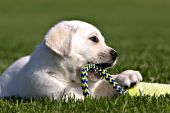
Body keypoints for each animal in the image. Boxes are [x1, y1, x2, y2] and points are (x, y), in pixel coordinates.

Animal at [0, 20, 142, 100]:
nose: (115, 54)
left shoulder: (94, 86)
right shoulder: (58, 93)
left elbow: (104, 84)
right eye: (94, 39)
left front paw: (127, 75)